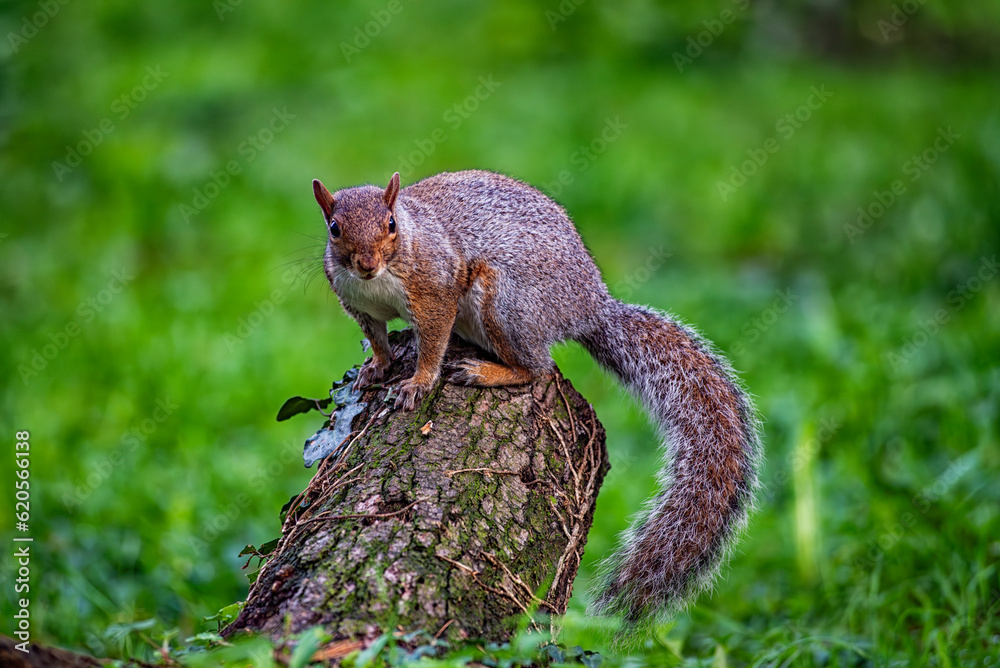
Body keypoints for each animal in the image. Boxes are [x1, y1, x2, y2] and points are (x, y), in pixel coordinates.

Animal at [311, 169, 761, 629]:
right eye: (334, 229)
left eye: (390, 225)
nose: (366, 264)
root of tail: (590, 308)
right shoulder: (358, 303)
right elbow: (377, 339)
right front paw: (377, 367)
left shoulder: (435, 290)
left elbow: (433, 341)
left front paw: (418, 381)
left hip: (505, 302)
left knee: (537, 368)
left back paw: (486, 371)